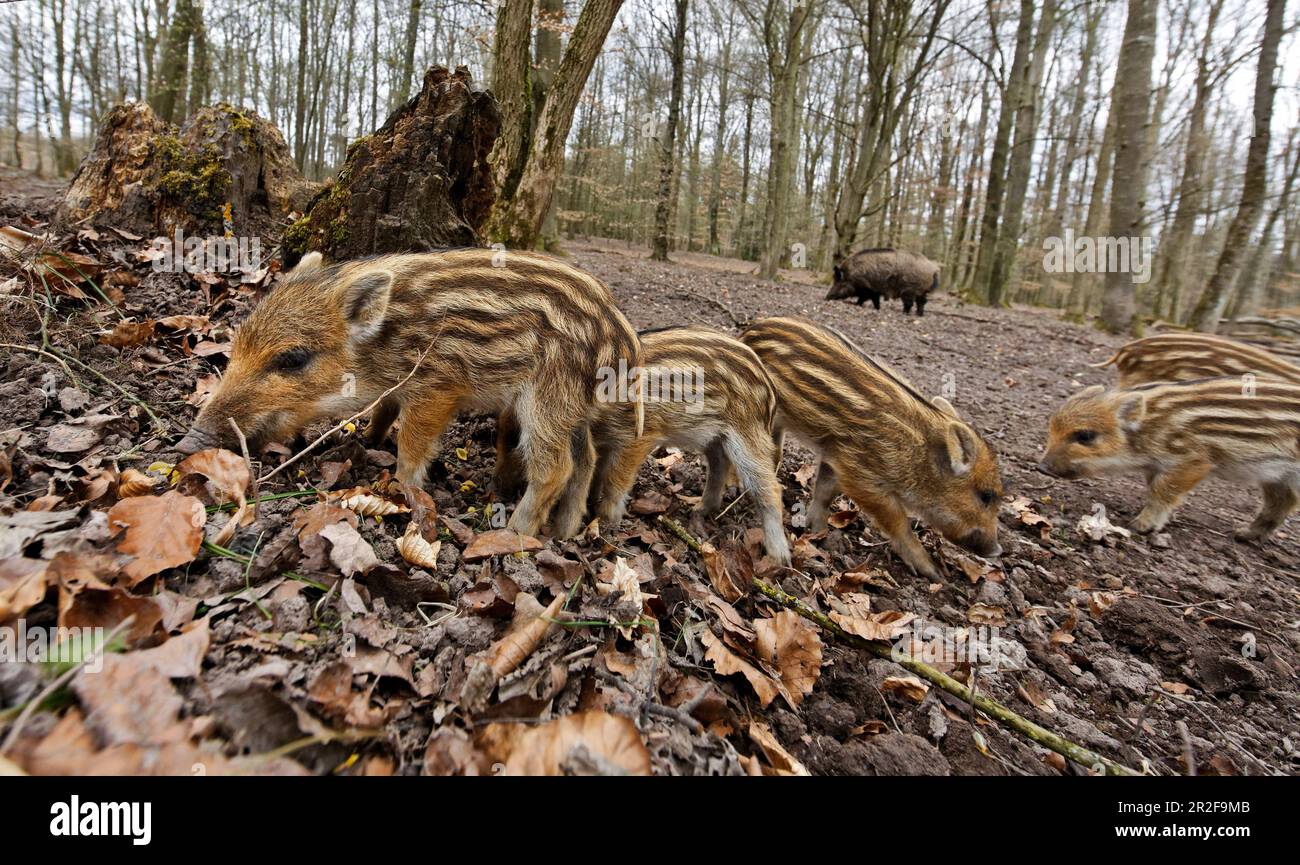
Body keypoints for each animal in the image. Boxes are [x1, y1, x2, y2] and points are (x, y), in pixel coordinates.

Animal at [175, 249, 643, 539]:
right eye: (237, 344)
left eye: (292, 359)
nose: (188, 443)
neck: (383, 344)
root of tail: (621, 339)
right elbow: (384, 410)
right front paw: (367, 440)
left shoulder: (436, 386)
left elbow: (414, 446)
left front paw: (401, 488)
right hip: (571, 407)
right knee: (586, 460)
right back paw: (565, 532)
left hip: (547, 399)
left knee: (555, 467)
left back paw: (514, 532)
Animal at [493, 325, 791, 564]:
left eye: (518, 446)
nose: (498, 490)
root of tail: (769, 387)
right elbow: (599, 472)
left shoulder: (641, 436)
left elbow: (615, 479)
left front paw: (607, 518)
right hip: (714, 437)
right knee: (719, 464)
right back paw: (700, 509)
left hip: (748, 435)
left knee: (769, 488)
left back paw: (779, 557)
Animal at [740, 316, 1004, 578]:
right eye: (985, 496)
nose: (997, 550)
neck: (918, 454)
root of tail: (752, 328)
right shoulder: (861, 474)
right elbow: (899, 523)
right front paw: (933, 572)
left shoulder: (836, 454)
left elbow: (825, 491)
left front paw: (818, 532)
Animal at [1040, 378, 1300, 539]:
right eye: (1051, 429)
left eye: (1085, 436)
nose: (1041, 467)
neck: (1148, 428)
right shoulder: (1156, 465)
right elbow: (1155, 488)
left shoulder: (1193, 461)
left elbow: (1162, 490)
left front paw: (1140, 526)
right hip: (1277, 476)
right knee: (1283, 501)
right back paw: (1243, 534)